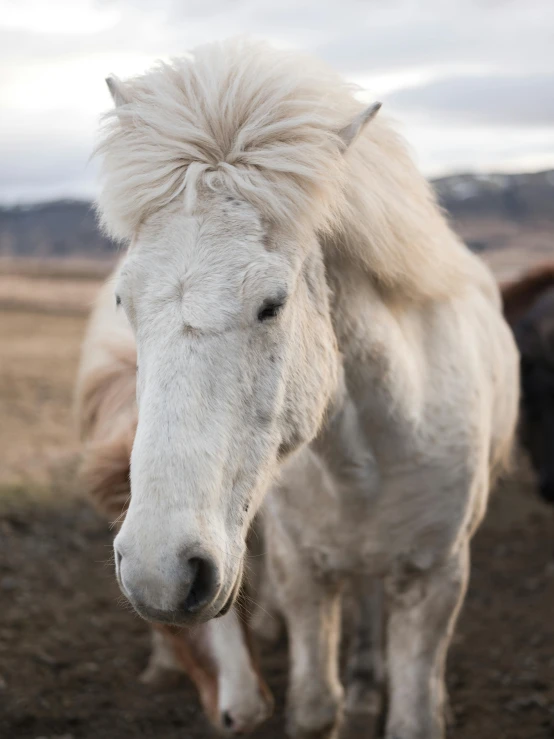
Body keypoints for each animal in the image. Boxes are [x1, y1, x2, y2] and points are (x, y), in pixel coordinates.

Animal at [94, 42, 516, 739]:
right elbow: (317, 706)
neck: (368, 456)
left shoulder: (435, 579)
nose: (161, 573)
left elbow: (414, 714)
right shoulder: (304, 575)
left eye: (273, 303)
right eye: (124, 300)